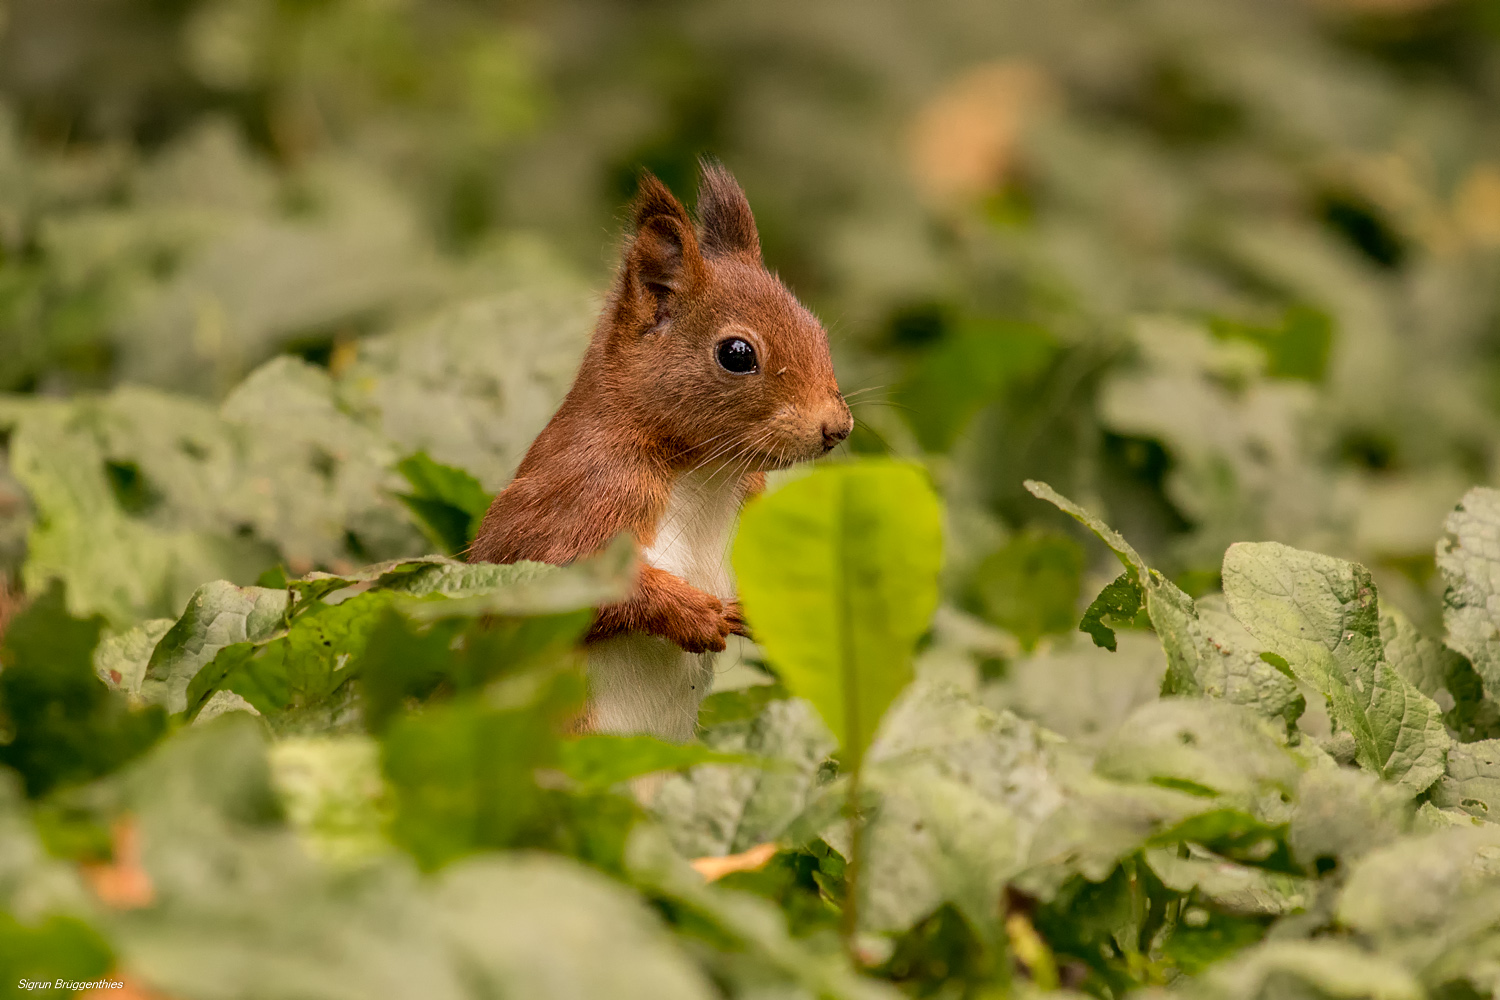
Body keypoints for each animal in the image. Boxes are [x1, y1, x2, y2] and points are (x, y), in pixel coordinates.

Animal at [468, 164, 852, 740]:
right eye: (736, 354)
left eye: (817, 328)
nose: (838, 428)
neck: (704, 473)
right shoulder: (579, 495)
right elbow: (556, 577)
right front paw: (692, 613)